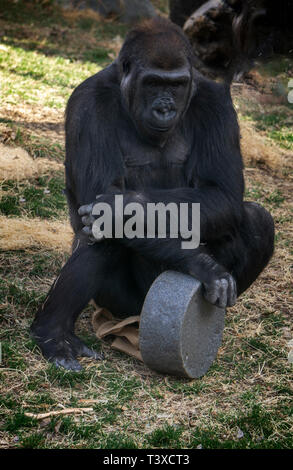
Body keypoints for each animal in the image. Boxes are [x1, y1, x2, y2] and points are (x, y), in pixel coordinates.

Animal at [30, 17, 272, 370]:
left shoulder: (216, 102)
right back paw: (53, 332)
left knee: (257, 219)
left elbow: (222, 194)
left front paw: (129, 207)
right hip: (121, 305)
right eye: (153, 83)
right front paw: (202, 264)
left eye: (176, 85)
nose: (165, 109)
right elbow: (105, 199)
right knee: (102, 229)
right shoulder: (88, 102)